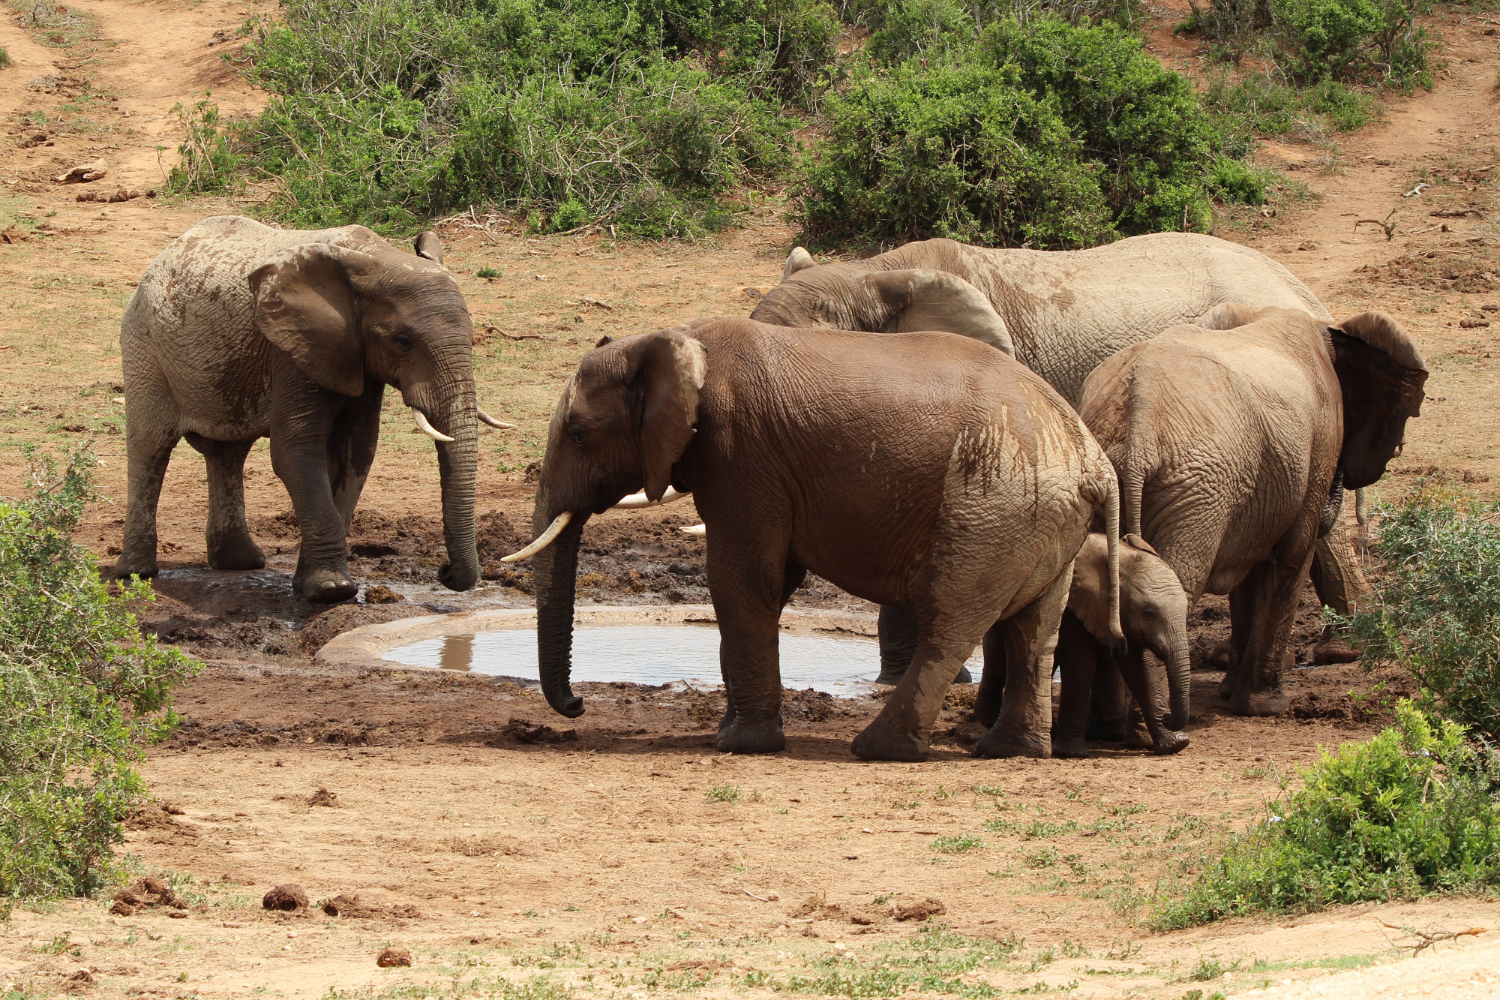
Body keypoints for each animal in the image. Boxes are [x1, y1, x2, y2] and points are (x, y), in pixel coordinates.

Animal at [118, 215, 516, 602]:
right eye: (403, 342)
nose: (444, 572)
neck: (379, 258)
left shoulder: (355, 355)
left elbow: (356, 453)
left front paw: (309, 585)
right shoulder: (291, 348)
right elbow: (295, 452)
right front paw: (331, 590)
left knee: (228, 453)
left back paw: (239, 562)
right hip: (143, 342)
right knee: (150, 446)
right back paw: (137, 572)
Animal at [510, 316, 1122, 761]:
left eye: (578, 434)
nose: (577, 705)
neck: (673, 337)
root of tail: (1095, 462)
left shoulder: (741, 453)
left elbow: (741, 579)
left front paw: (742, 746)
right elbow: (772, 582)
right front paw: (732, 733)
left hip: (993, 503)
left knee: (950, 619)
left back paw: (878, 749)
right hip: (1040, 514)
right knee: (1034, 628)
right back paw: (1008, 752)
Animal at [1080, 305, 1428, 719]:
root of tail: (1137, 433)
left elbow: (1248, 571)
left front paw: (1232, 694)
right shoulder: (1319, 444)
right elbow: (1292, 556)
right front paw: (1265, 708)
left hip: (1127, 482)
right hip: (1196, 491)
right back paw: (1158, 722)